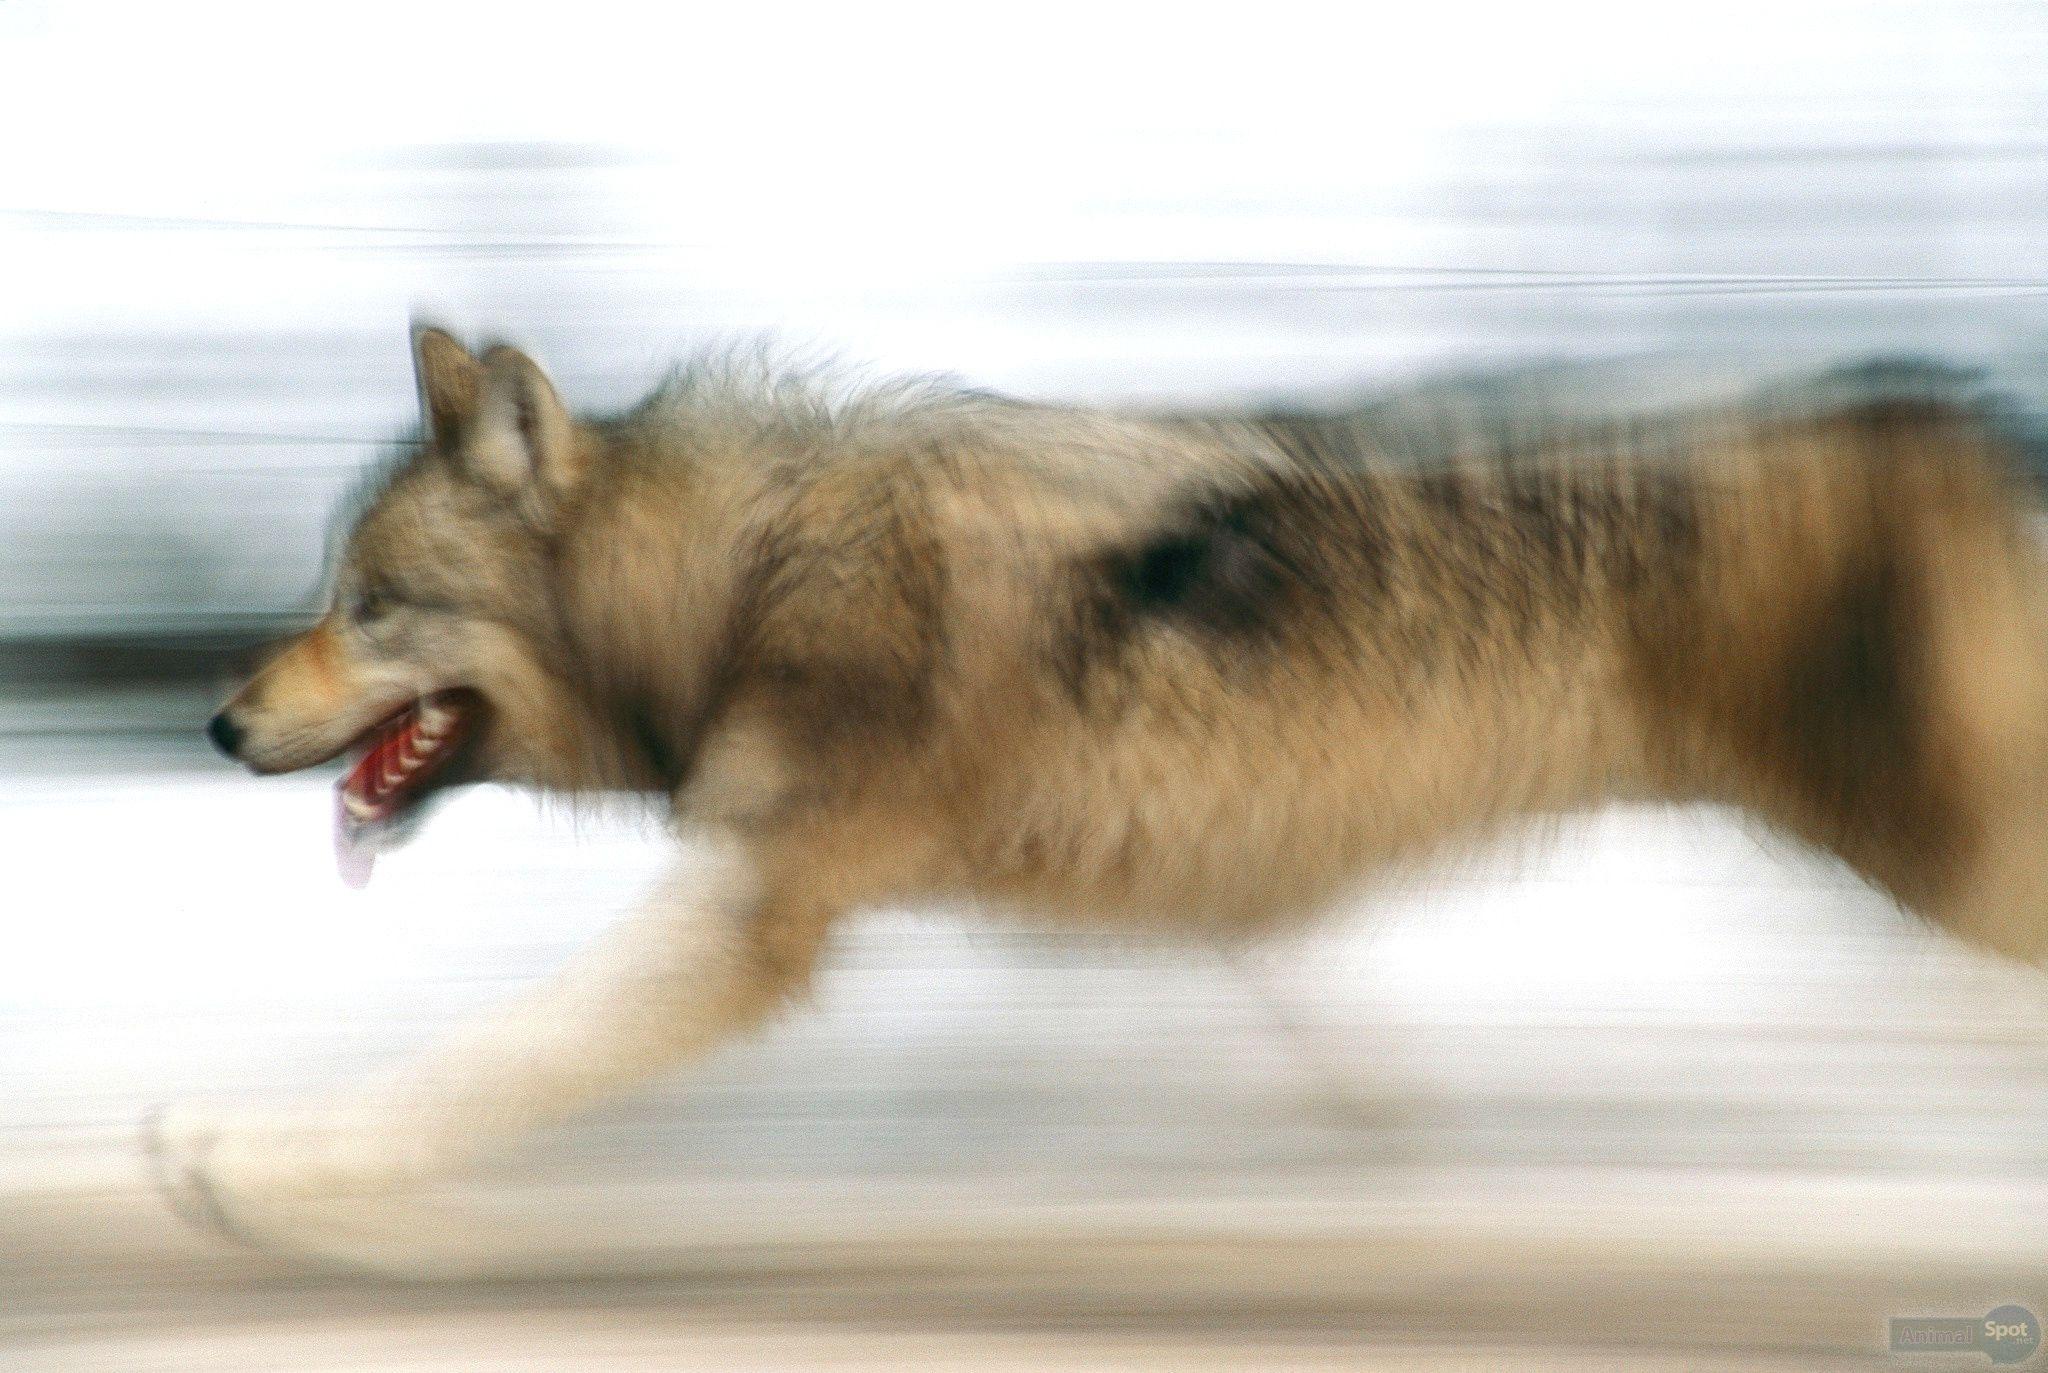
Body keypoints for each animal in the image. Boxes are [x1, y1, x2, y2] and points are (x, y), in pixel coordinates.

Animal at [152, 325, 2048, 1257]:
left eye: (368, 603)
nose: (217, 724)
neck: (746, 581)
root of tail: (1944, 410)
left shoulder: (748, 922)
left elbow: (465, 1068)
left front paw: (252, 1161)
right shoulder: (1175, 894)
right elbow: (1282, 1049)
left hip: (1944, 859)